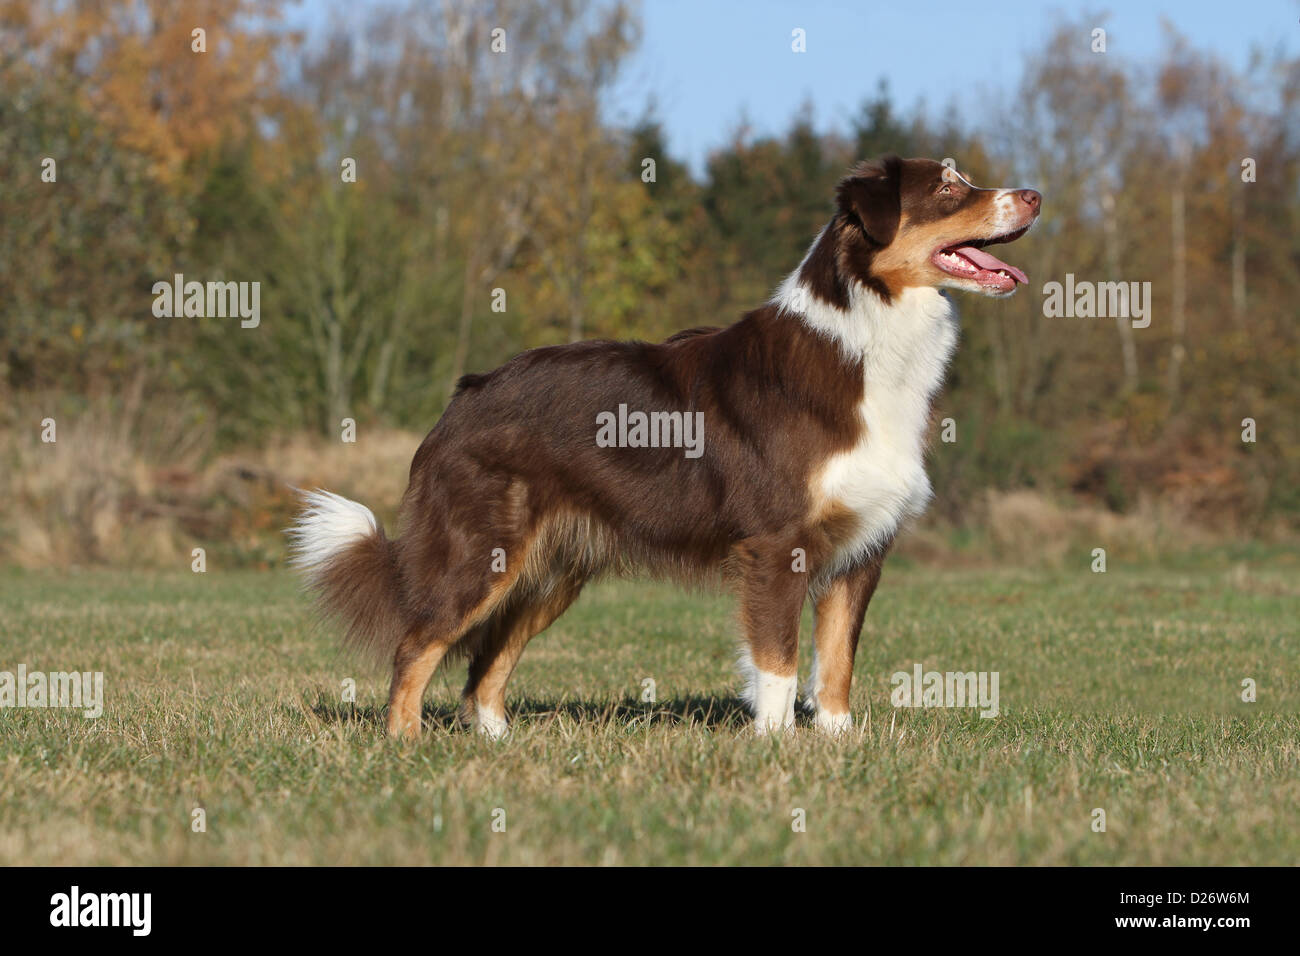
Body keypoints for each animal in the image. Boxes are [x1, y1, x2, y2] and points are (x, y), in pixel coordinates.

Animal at [289, 155, 1040, 738]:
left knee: (484, 666)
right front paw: (775, 747)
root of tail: (464, 394)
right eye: (948, 187)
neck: (869, 337)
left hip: (551, 573)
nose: (1036, 194)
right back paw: (405, 744)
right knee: (416, 646)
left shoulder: (862, 552)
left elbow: (837, 664)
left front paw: (836, 743)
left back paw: (499, 745)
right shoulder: (777, 546)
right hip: (481, 557)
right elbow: (778, 660)